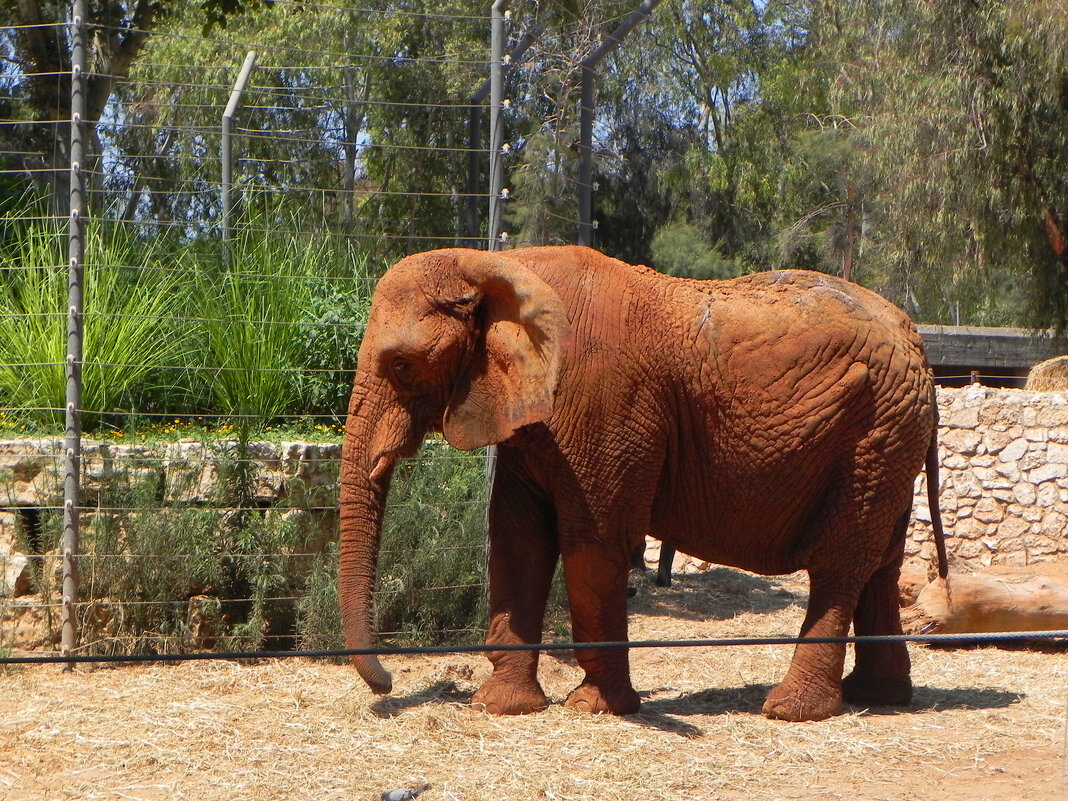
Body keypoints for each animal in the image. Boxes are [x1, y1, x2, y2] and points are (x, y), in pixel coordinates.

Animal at [337, 246, 948, 726]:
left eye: (403, 365)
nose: (388, 683)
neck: (498, 265)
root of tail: (918, 342)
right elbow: (517, 541)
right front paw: (500, 707)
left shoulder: (604, 402)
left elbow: (592, 543)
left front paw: (596, 708)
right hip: (891, 434)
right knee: (881, 562)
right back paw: (879, 697)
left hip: (876, 431)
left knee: (840, 562)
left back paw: (792, 710)